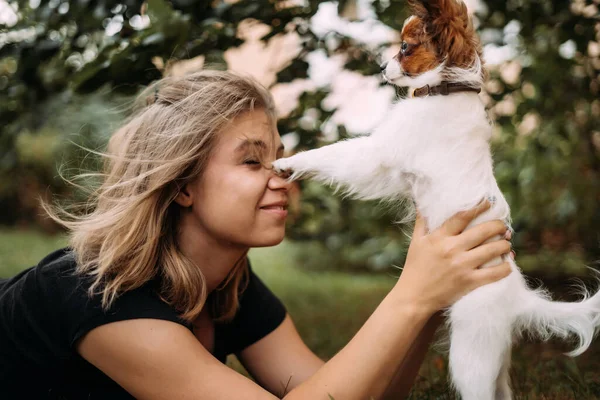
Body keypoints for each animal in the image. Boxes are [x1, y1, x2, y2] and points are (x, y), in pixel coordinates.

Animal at [274, 1, 600, 398]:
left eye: (404, 48)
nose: (381, 68)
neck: (445, 90)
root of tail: (518, 297)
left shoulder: (375, 155)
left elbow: (331, 155)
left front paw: (289, 164)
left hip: (469, 356)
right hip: (496, 361)